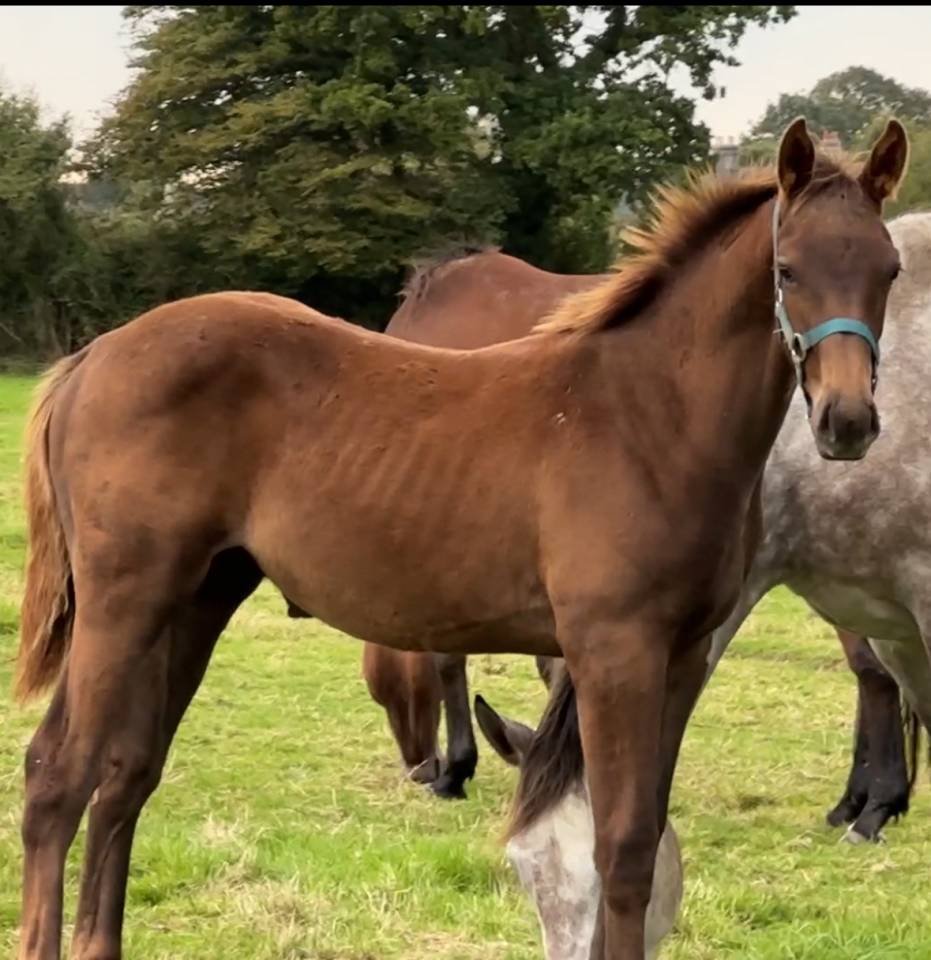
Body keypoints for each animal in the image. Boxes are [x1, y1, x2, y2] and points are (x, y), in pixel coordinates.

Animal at [13, 118, 907, 960]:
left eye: (888, 269)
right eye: (786, 269)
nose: (846, 422)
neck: (647, 414)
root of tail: (91, 358)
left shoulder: (682, 653)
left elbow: (645, 838)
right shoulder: (614, 649)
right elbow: (616, 848)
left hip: (198, 597)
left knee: (127, 773)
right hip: (123, 603)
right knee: (58, 772)